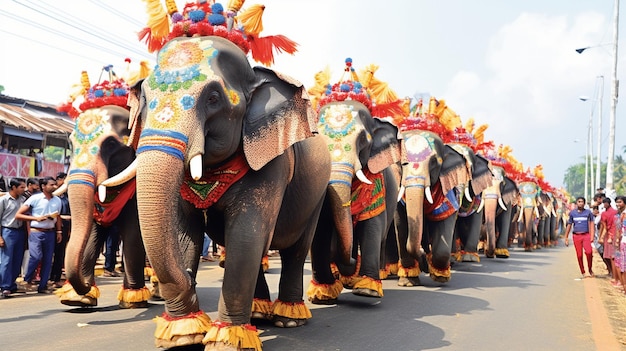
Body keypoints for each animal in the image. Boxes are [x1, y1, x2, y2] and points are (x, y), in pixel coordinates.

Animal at [54, 67, 154, 310]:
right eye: (70, 144)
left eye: (110, 144)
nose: (84, 285)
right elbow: (92, 232)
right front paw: (78, 299)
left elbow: (134, 232)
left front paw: (133, 301)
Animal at [118, 2, 332, 350]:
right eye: (147, 98)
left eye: (214, 98)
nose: (190, 283)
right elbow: (185, 233)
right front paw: (184, 335)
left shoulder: (273, 162)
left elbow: (246, 233)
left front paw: (223, 341)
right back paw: (257, 315)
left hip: (318, 191)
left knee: (295, 249)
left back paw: (288, 319)